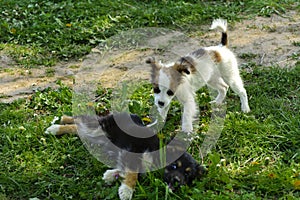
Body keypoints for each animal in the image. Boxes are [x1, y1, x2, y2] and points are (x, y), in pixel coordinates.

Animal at [45, 112, 206, 200]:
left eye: (188, 174)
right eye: (173, 165)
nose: (178, 181)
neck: (157, 152)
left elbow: (129, 170)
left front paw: (110, 175)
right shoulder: (132, 151)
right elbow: (133, 173)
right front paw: (127, 191)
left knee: (78, 127)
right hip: (99, 128)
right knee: (81, 121)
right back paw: (57, 126)